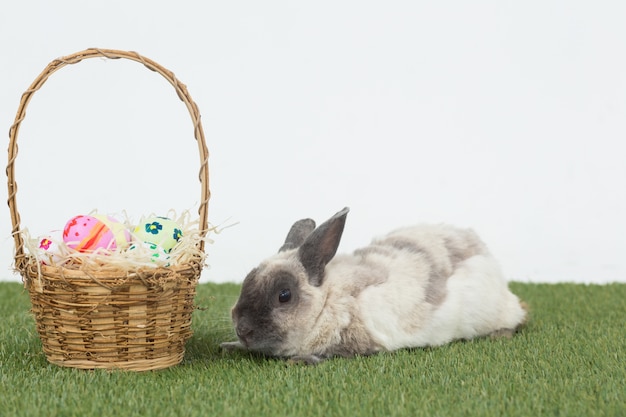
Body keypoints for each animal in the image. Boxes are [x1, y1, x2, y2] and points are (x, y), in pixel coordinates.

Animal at [221, 206, 528, 362]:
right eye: (246, 281)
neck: (330, 299)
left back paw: (499, 334)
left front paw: (301, 360)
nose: (243, 330)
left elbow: (333, 354)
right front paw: (230, 345)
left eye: (284, 295)